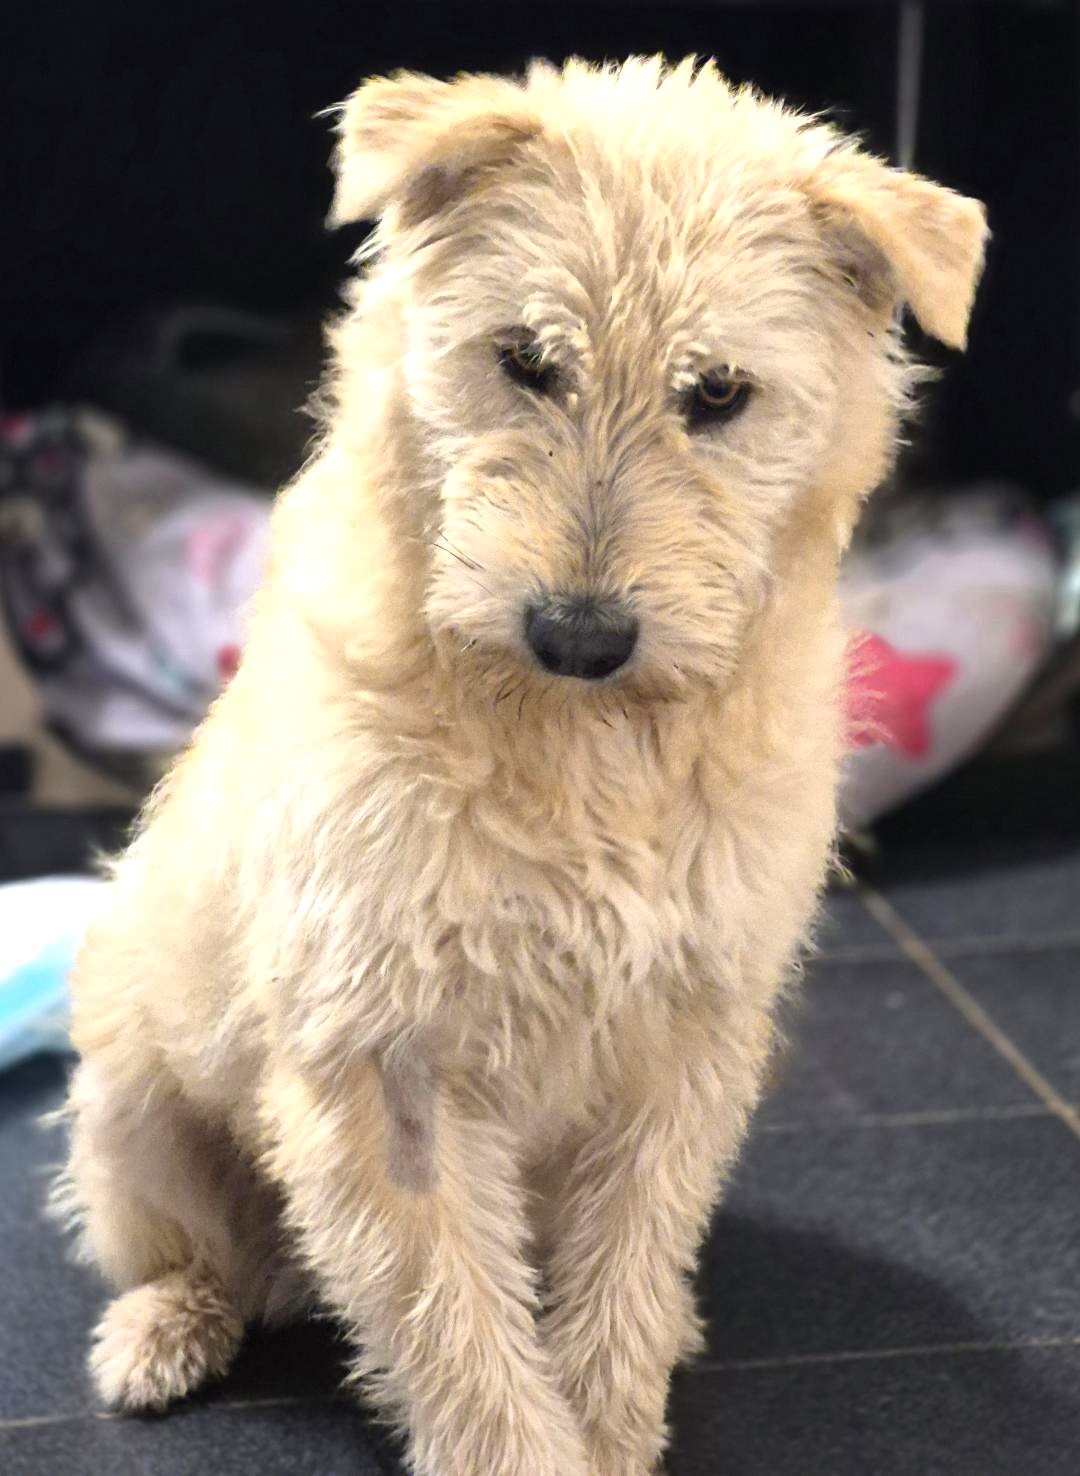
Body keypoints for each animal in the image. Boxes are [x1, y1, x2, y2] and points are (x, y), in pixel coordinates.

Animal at [53, 56, 986, 1476]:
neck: (584, 749)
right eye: (525, 360)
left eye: (719, 393)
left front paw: (617, 1410)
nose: (580, 636)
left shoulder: (681, 1046)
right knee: (197, 1253)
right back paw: (162, 1333)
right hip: (133, 1105)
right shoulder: (387, 1068)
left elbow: (617, 1281)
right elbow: (466, 1341)